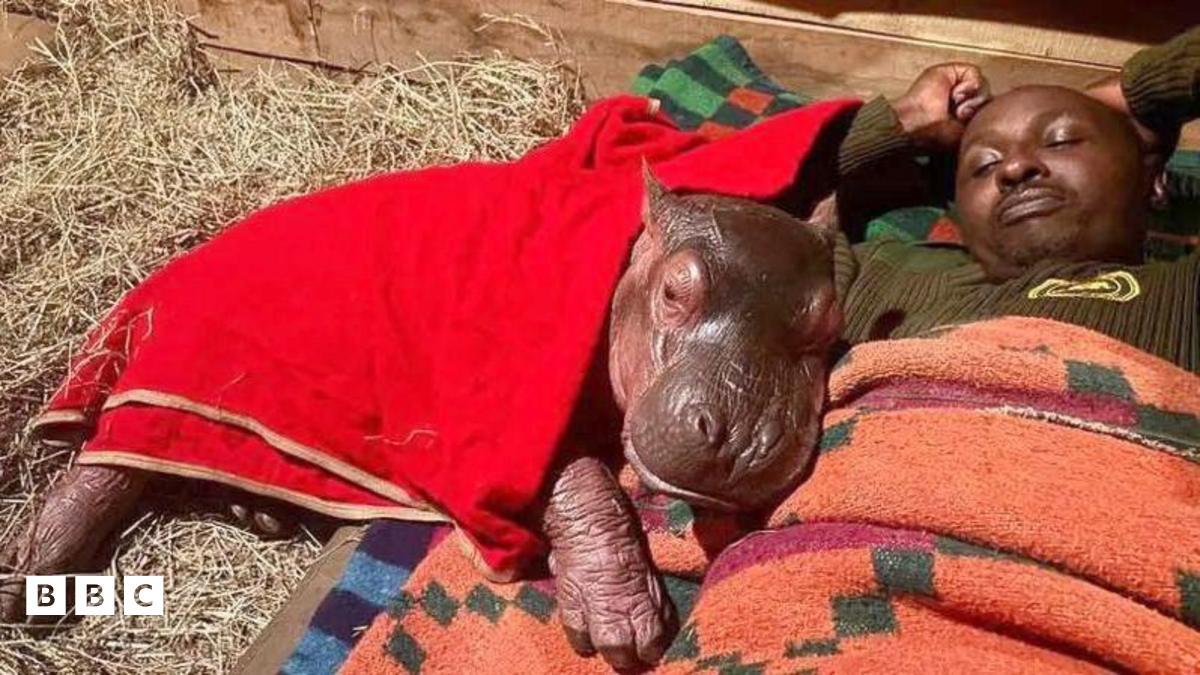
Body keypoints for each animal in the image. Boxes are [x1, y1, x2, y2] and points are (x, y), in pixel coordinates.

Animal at [1, 169, 842, 670]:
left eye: (826, 327)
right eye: (674, 291)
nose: (739, 436)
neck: (623, 276)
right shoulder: (512, 419)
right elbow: (582, 481)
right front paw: (623, 629)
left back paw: (256, 511)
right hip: (174, 366)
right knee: (101, 469)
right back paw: (27, 581)